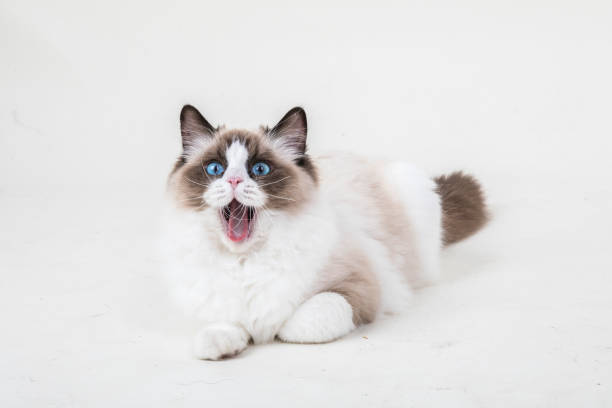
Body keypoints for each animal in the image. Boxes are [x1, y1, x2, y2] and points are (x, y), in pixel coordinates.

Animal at [163, 105, 488, 360]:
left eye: (260, 169)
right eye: (215, 169)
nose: (232, 181)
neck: (247, 261)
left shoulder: (359, 286)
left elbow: (300, 322)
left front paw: (274, 329)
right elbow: (221, 326)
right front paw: (222, 342)